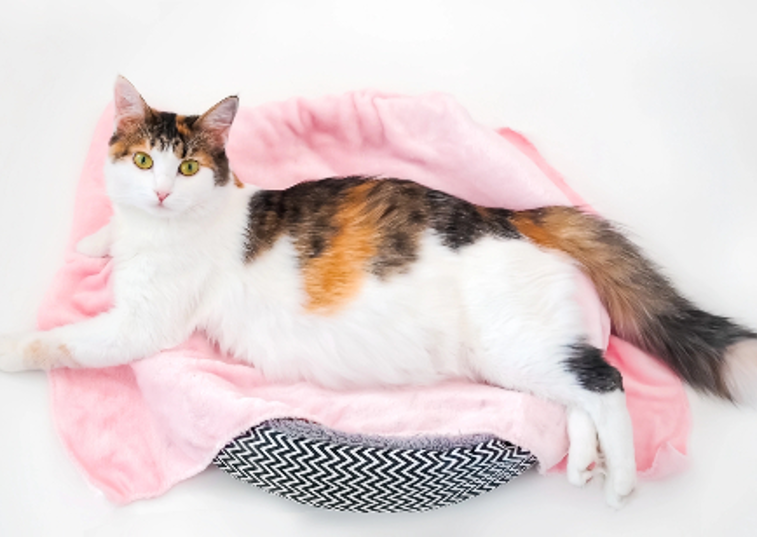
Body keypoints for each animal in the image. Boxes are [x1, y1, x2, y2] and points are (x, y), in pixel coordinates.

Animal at [1, 76, 756, 506]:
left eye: (186, 167)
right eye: (140, 160)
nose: (158, 191)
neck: (166, 226)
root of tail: (510, 212)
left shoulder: (138, 325)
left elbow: (59, 340)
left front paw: (11, 348)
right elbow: (106, 234)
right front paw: (95, 242)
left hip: (513, 346)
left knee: (607, 382)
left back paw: (622, 481)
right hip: (524, 357)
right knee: (582, 385)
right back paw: (586, 463)